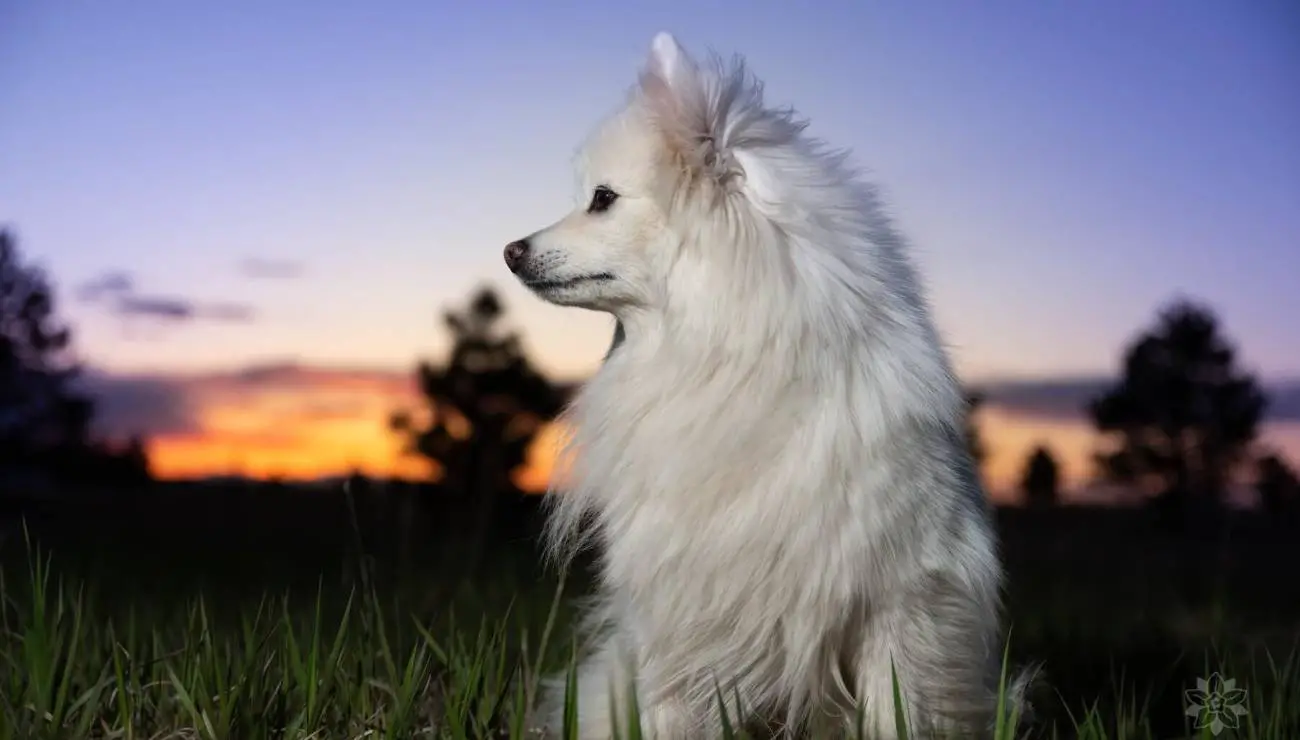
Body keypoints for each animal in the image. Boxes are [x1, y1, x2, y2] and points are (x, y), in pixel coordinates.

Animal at [504, 31, 1024, 733]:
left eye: (603, 199)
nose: (510, 251)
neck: (729, 362)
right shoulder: (682, 627)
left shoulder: (901, 609)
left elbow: (897, 714)